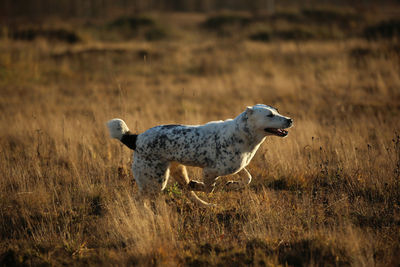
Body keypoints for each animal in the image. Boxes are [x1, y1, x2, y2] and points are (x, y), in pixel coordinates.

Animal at [108, 103, 292, 206]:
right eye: (270, 115)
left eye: (277, 110)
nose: (290, 120)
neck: (242, 134)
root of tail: (136, 138)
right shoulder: (210, 171)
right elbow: (210, 187)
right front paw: (200, 184)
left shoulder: (238, 166)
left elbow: (248, 178)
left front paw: (232, 184)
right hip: (155, 181)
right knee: (139, 200)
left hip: (177, 171)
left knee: (187, 192)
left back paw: (206, 205)